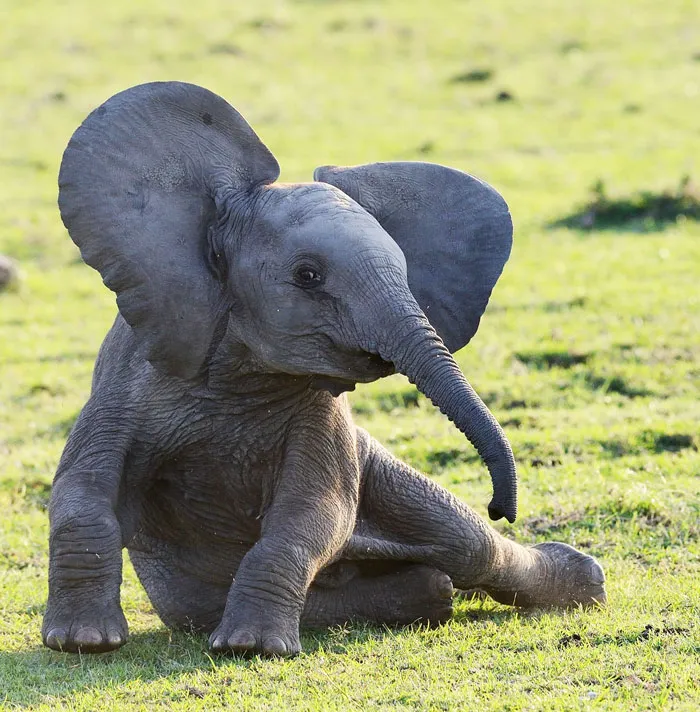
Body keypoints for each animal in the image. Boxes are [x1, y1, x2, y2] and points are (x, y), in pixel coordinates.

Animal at [42, 81, 605, 656]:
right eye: (308, 276)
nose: (500, 506)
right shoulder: (127, 383)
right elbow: (81, 492)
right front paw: (83, 642)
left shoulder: (322, 413)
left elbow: (312, 513)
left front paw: (251, 649)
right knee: (433, 577)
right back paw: (434, 589)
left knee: (467, 544)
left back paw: (583, 584)